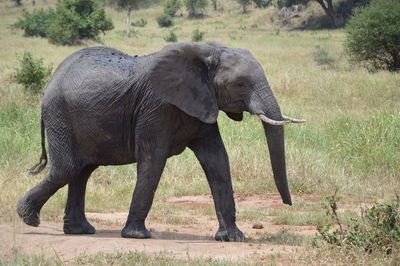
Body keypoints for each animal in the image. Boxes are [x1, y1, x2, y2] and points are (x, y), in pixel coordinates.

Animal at [14, 41, 304, 241]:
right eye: (241, 84)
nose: (288, 204)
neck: (207, 52)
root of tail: (51, 81)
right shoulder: (157, 107)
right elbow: (153, 160)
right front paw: (136, 236)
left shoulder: (201, 103)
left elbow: (217, 160)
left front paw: (233, 238)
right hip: (60, 114)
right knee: (68, 168)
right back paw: (28, 218)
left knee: (82, 171)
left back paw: (79, 230)